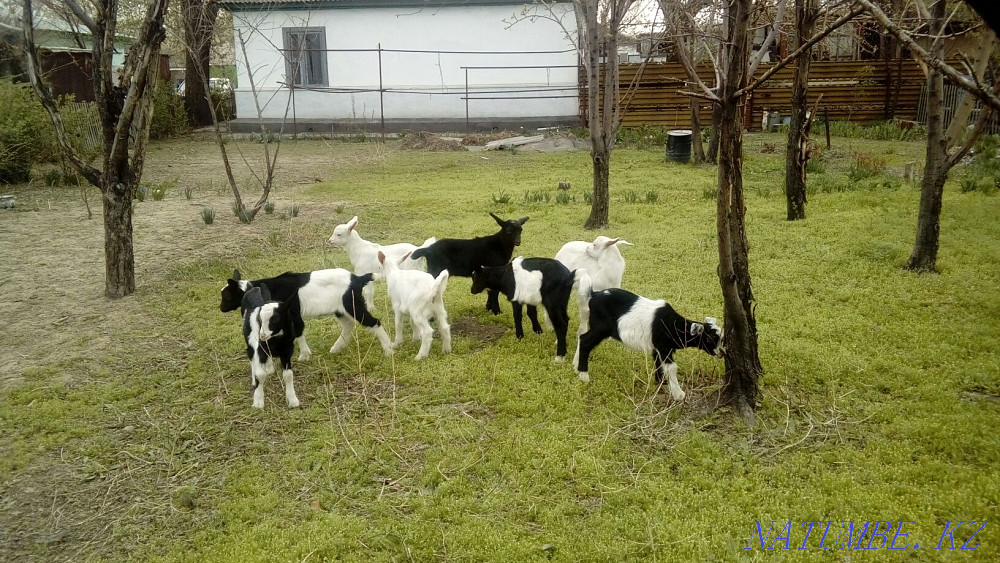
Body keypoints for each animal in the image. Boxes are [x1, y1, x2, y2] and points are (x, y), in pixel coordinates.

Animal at [221, 268, 394, 357]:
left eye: (226, 296)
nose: (221, 308)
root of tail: (357, 279)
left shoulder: (293, 312)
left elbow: (298, 331)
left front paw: (304, 355)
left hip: (352, 304)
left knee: (373, 322)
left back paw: (388, 349)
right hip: (340, 308)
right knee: (348, 323)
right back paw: (337, 347)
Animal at [573, 274, 723, 400]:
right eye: (710, 339)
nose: (721, 353)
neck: (673, 324)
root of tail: (593, 295)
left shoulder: (657, 347)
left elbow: (659, 364)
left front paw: (661, 384)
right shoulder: (664, 347)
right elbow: (671, 367)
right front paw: (679, 394)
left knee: (582, 336)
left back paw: (575, 365)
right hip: (601, 328)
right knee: (585, 340)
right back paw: (584, 376)